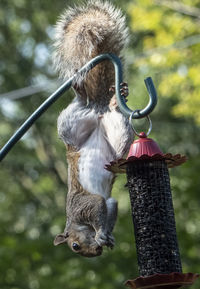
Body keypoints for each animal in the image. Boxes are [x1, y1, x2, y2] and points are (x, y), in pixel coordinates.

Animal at [53, 0, 133, 256]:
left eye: (74, 246)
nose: (95, 252)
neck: (75, 221)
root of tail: (97, 110)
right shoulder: (106, 202)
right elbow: (110, 206)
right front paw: (106, 237)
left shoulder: (86, 205)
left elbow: (98, 208)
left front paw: (100, 234)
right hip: (114, 133)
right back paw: (115, 102)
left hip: (70, 124)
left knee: (78, 104)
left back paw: (80, 91)